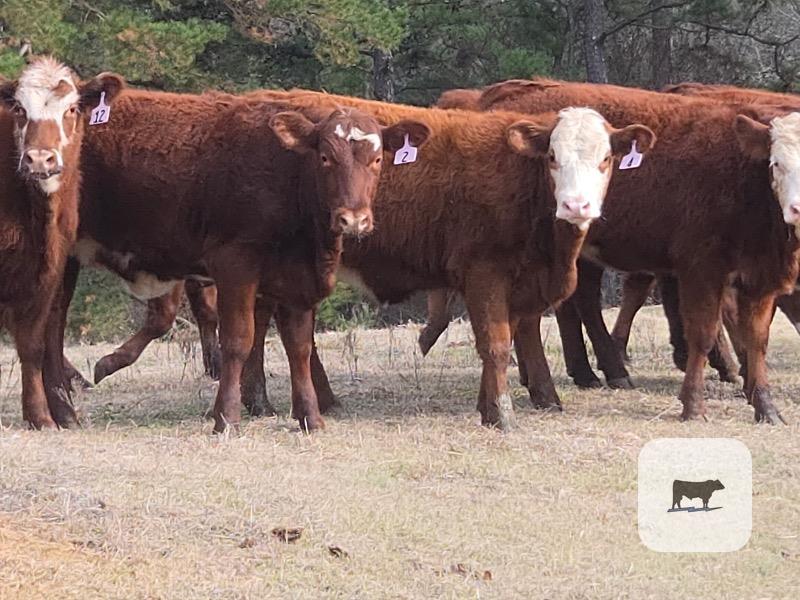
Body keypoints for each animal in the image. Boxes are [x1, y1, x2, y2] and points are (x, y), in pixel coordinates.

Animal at [0, 57, 123, 428]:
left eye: (70, 109)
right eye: (19, 109)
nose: (40, 159)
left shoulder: (49, 271)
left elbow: (34, 344)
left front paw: (40, 415)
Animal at [42, 88, 430, 433]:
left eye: (377, 160)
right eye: (325, 158)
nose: (353, 219)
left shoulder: (297, 277)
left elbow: (299, 347)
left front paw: (310, 417)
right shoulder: (235, 264)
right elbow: (239, 339)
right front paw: (227, 418)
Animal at [234, 89, 655, 429]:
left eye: (606, 158)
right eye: (552, 156)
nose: (576, 205)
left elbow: (512, 337)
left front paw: (500, 403)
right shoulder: (484, 272)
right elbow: (496, 343)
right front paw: (500, 415)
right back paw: (270, 401)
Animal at [464, 78, 800, 424]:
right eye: (777, 163)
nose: (797, 209)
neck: (742, 174)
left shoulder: (760, 278)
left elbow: (757, 340)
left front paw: (766, 406)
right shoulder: (701, 268)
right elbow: (703, 333)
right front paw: (694, 404)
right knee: (539, 317)